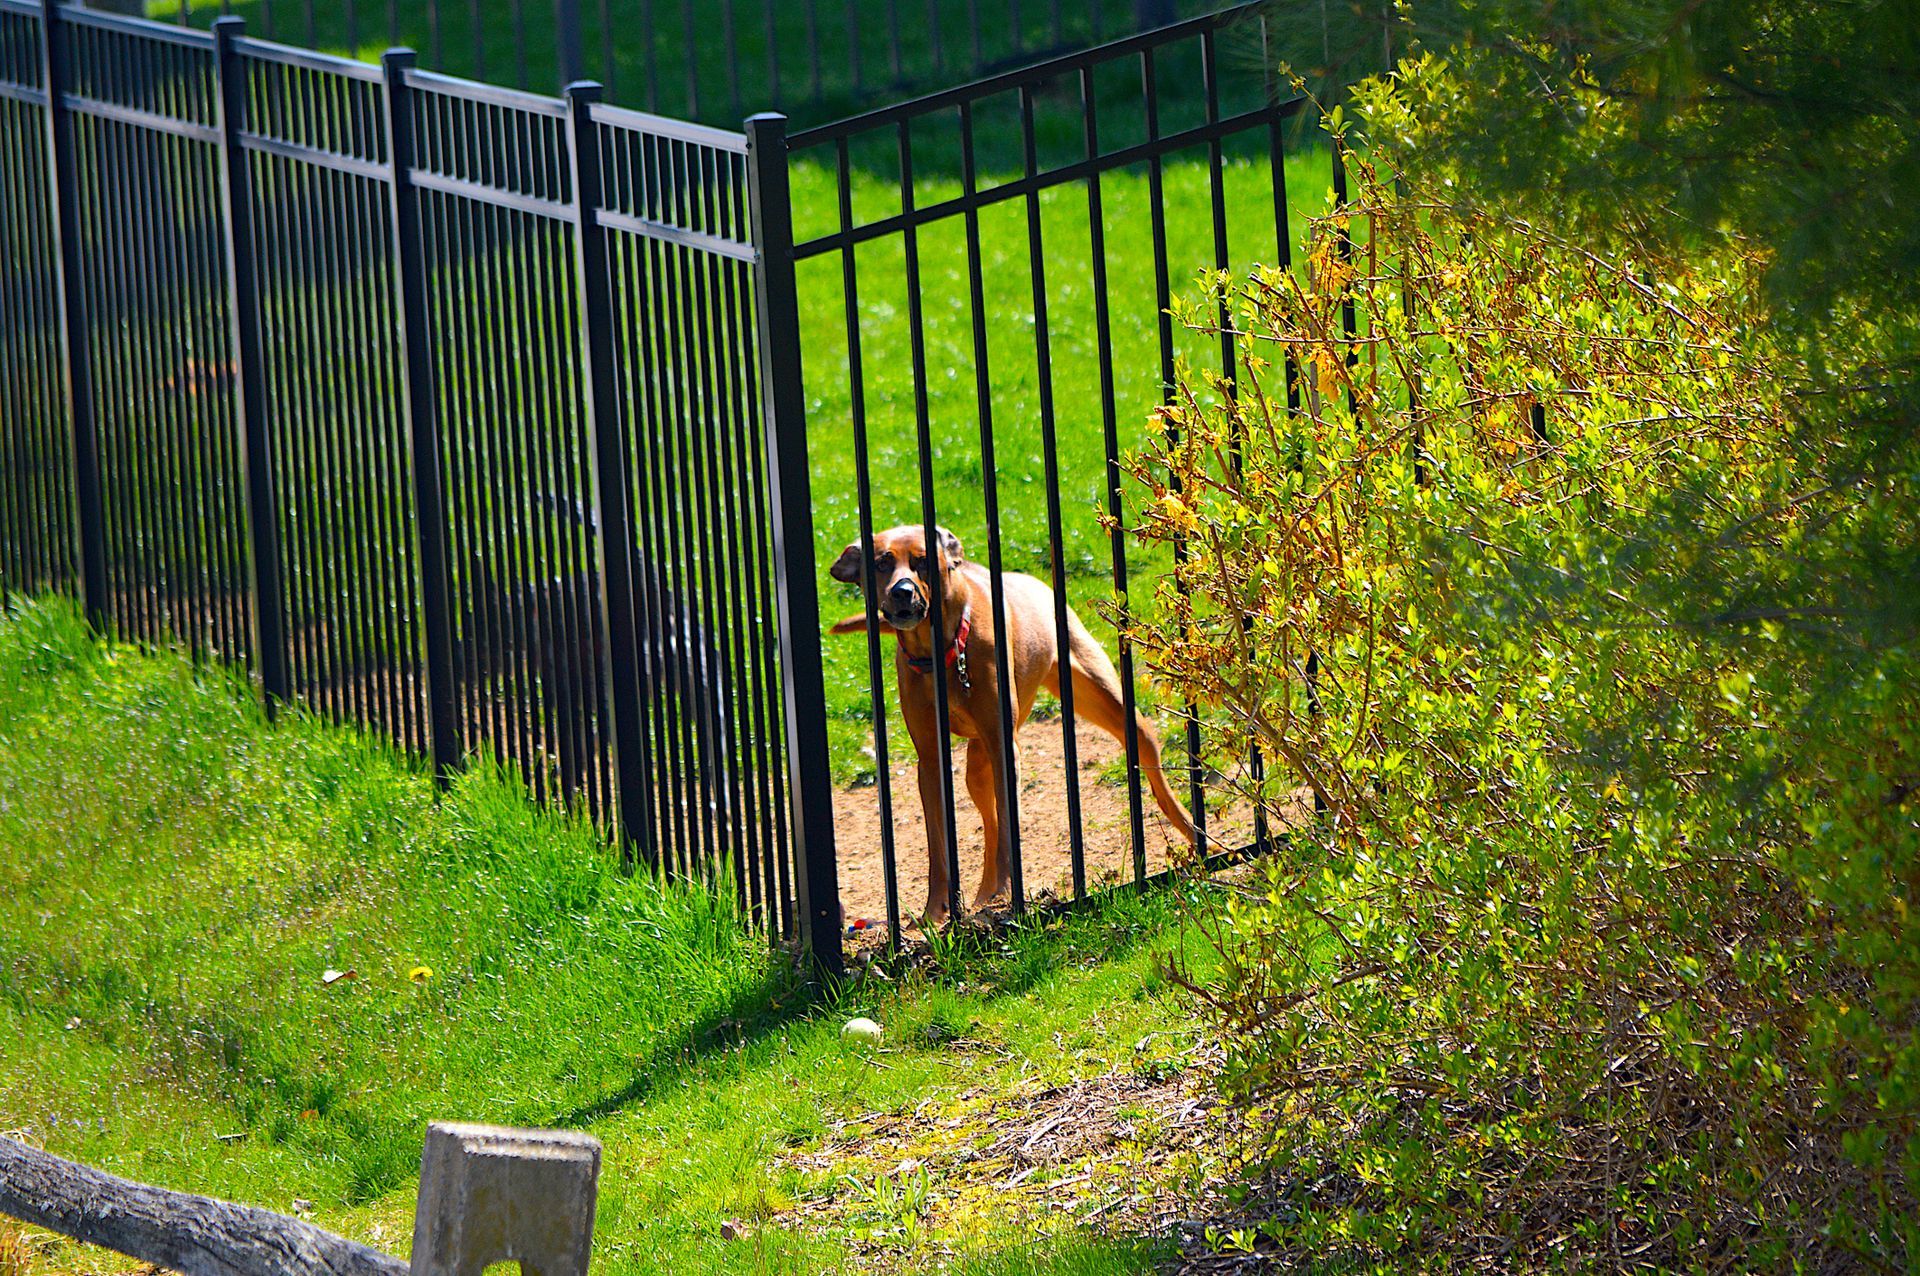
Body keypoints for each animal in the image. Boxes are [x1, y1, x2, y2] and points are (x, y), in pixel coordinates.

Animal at [829, 521, 1190, 921]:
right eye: (881, 563)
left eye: (922, 560)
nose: (902, 591)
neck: (944, 653)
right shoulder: (930, 760)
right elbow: (940, 843)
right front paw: (936, 910)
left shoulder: (1003, 745)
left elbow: (1007, 831)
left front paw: (1003, 892)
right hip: (977, 765)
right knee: (990, 823)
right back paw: (984, 894)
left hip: (1100, 692)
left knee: (1146, 748)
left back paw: (1192, 831)